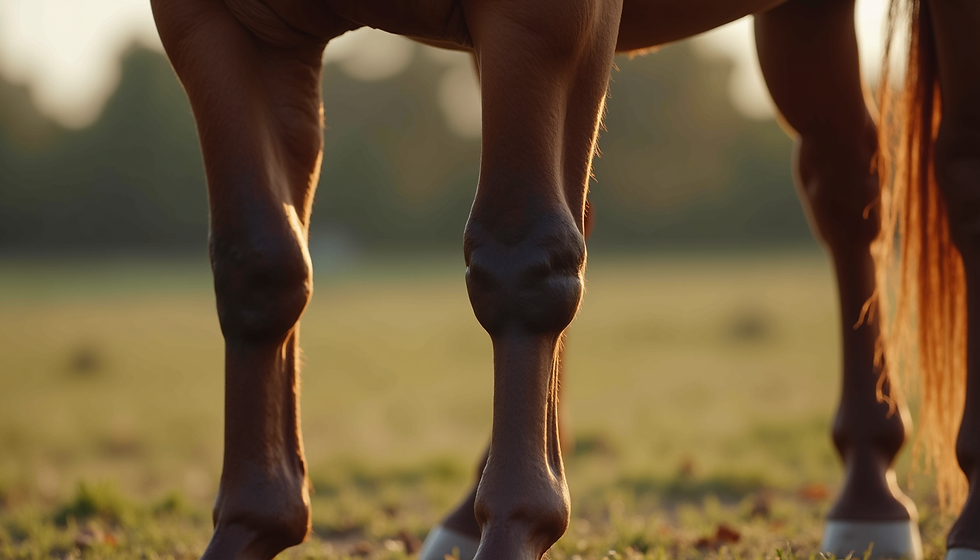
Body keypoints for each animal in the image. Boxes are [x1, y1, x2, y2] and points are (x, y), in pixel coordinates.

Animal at [148, 0, 979, 558]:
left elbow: (520, 261)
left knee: (944, 181)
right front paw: (254, 525)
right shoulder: (218, 24)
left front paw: (519, 525)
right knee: (842, 189)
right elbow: (259, 269)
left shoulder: (546, 17)